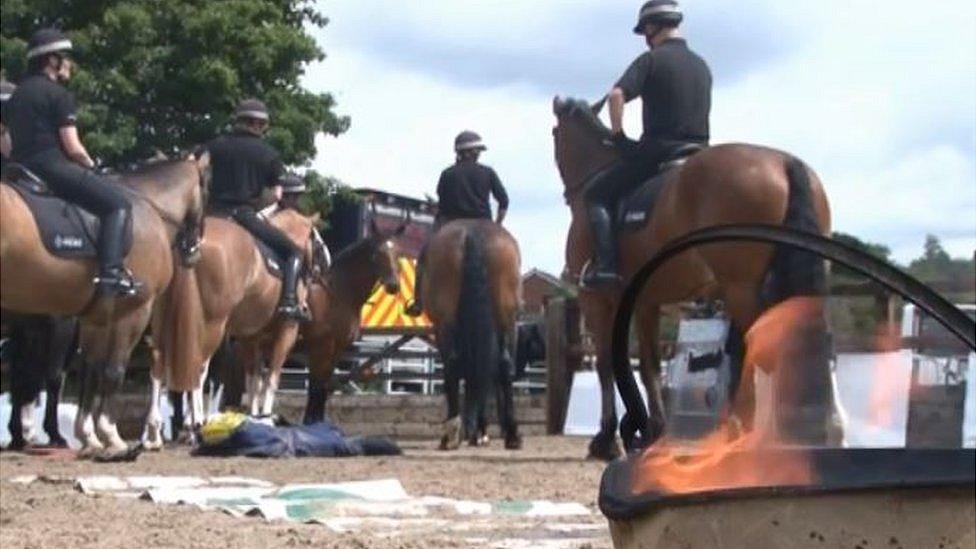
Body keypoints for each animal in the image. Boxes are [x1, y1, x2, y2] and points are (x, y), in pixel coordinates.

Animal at [0, 155, 208, 454]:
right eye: (207, 190)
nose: (194, 252)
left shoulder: (92, 320)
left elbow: (87, 371)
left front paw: (87, 435)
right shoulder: (130, 313)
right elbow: (106, 372)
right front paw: (109, 435)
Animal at [144, 208, 316, 448]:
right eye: (316, 243)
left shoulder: (251, 338)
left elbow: (253, 379)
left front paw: (254, 416)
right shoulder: (286, 333)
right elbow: (271, 377)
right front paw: (265, 416)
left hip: (166, 321)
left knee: (160, 365)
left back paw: (155, 434)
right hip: (210, 325)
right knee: (198, 368)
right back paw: (194, 426)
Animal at [300, 218, 402, 424]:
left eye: (397, 253)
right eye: (376, 254)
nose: (393, 285)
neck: (338, 294)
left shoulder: (336, 351)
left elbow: (322, 390)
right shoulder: (321, 349)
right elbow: (315, 388)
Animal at [422, 218, 524, 450]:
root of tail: (472, 235)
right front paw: (479, 431)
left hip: (448, 322)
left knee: (455, 364)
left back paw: (451, 434)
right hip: (506, 318)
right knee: (503, 365)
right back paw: (511, 433)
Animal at [548, 97, 832, 458]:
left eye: (555, 133)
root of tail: (784, 163)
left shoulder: (597, 301)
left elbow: (606, 365)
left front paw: (606, 439)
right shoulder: (645, 302)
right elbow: (650, 366)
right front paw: (651, 432)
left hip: (741, 289)